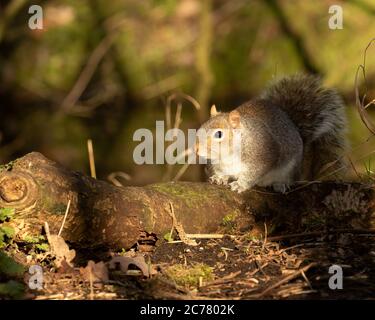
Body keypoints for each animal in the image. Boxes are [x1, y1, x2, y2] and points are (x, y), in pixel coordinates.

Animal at [197, 74, 350, 192]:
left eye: (219, 134)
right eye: (200, 127)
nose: (197, 149)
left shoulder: (262, 157)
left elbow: (251, 175)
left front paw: (240, 185)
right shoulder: (220, 164)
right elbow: (222, 172)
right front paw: (219, 177)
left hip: (290, 168)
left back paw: (280, 184)